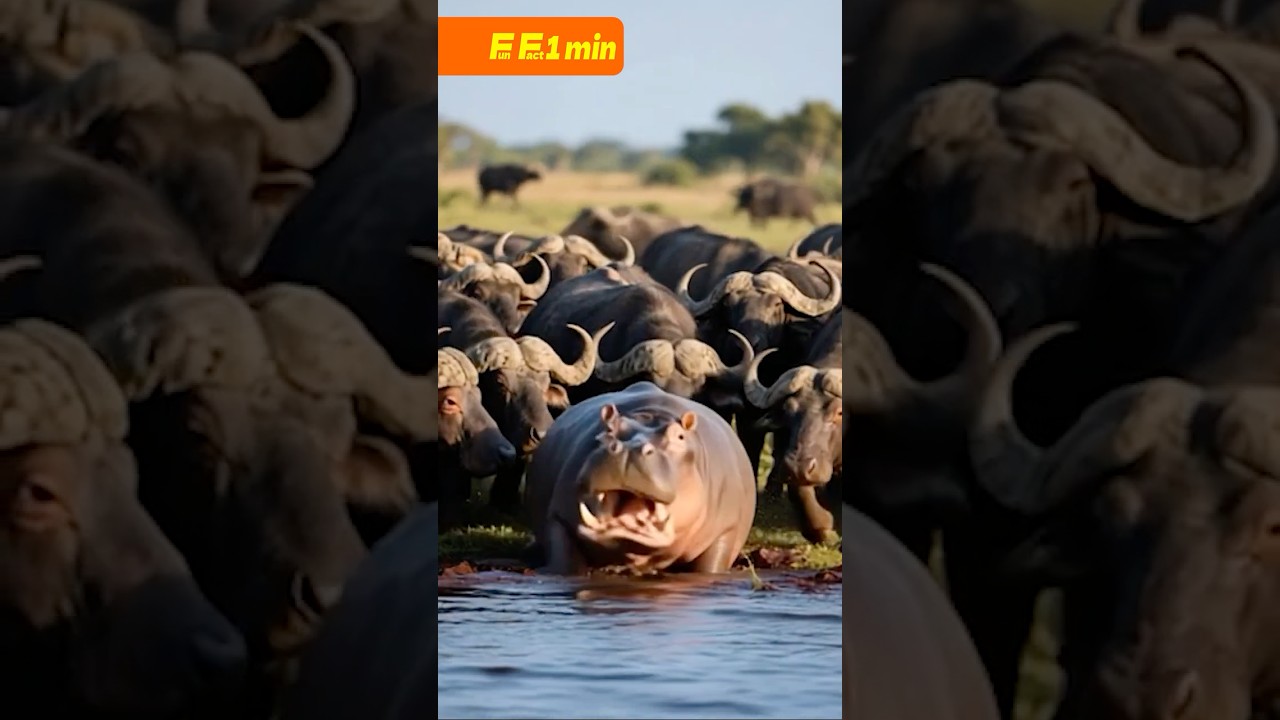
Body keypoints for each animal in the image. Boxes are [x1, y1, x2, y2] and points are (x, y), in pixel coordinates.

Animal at [525, 381, 756, 574]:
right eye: (608, 427)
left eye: (680, 436)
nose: (627, 448)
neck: (651, 414)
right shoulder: (558, 516)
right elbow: (565, 563)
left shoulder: (725, 529)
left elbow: (710, 566)